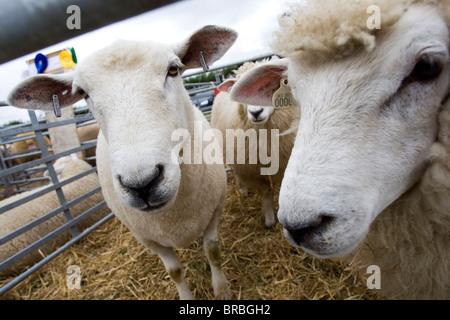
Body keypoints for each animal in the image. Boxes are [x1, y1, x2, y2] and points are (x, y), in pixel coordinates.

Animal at [5, 25, 237, 300]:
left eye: (173, 69)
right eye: (82, 92)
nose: (143, 184)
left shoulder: (214, 210)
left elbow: (213, 252)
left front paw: (222, 290)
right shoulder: (147, 237)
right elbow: (175, 272)